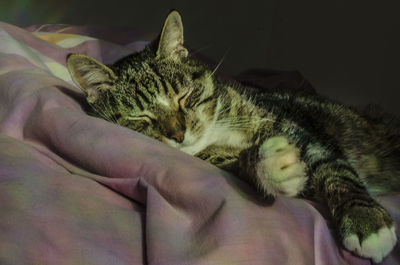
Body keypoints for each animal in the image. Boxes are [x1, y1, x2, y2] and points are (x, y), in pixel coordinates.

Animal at [65, 9, 396, 262]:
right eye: (141, 117)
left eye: (183, 95)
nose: (178, 134)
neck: (220, 127)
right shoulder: (220, 158)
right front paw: (274, 166)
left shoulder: (296, 130)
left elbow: (335, 170)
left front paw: (366, 222)